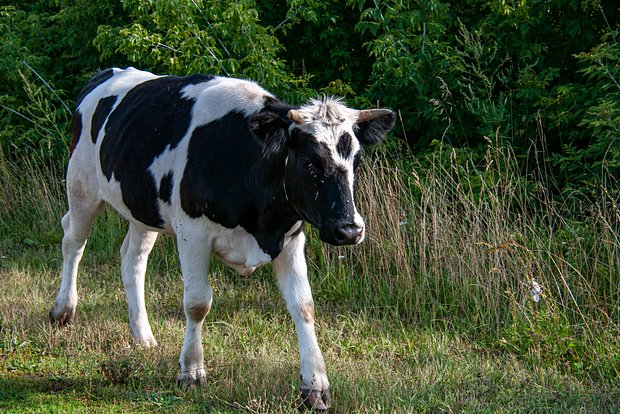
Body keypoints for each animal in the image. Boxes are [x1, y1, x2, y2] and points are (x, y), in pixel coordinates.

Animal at [49, 66, 398, 410]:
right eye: (308, 161)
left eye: (356, 161)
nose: (349, 229)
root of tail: (109, 72)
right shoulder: (193, 232)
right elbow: (197, 303)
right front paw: (191, 371)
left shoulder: (291, 236)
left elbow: (304, 305)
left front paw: (315, 387)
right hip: (80, 186)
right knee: (72, 242)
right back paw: (62, 311)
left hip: (143, 208)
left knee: (132, 260)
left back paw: (142, 335)